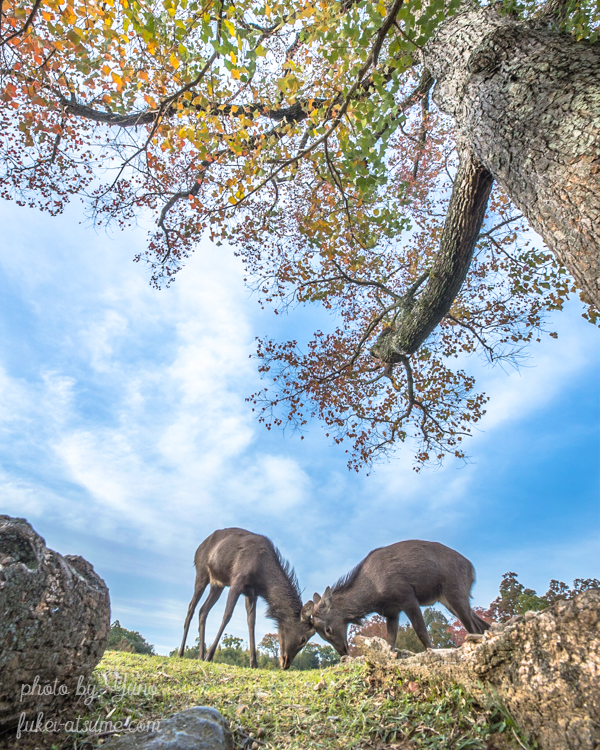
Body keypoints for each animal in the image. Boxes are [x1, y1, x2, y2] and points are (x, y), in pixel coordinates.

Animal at [177, 528, 314, 668]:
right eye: (303, 639)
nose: (285, 663)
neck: (263, 579)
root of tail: (198, 548)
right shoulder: (237, 581)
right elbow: (227, 615)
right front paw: (209, 656)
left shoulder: (251, 593)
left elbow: (251, 622)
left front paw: (253, 663)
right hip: (201, 572)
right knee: (191, 608)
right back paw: (181, 653)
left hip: (217, 584)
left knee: (203, 610)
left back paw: (199, 655)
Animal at [302, 540, 490, 656]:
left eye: (328, 630)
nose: (344, 652)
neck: (374, 597)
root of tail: (472, 570)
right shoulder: (392, 611)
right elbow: (390, 641)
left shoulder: (407, 597)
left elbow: (421, 631)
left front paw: (432, 653)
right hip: (449, 599)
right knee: (483, 625)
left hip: (455, 591)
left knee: (473, 627)